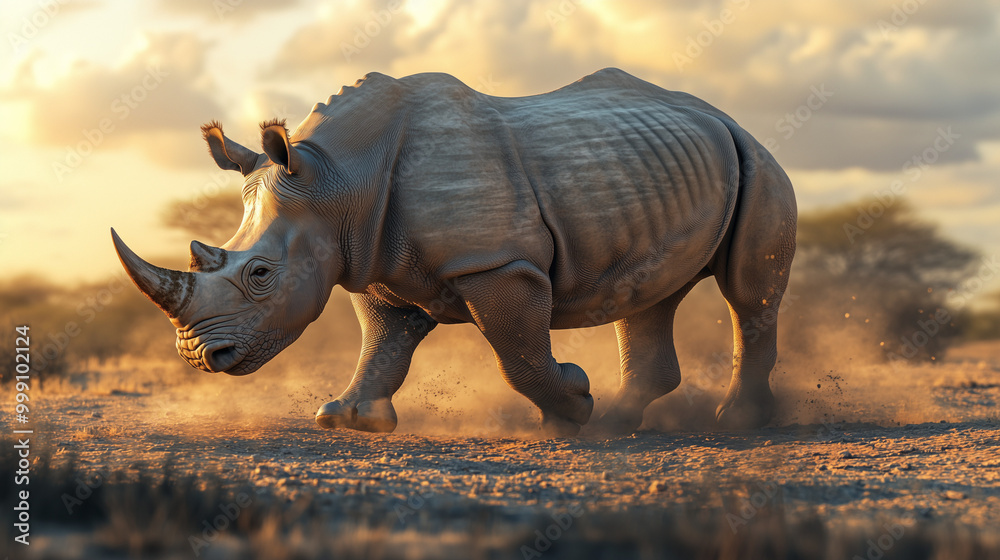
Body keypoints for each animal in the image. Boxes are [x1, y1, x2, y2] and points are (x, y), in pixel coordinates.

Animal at [111, 68, 796, 436]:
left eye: (259, 274)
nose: (200, 357)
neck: (336, 180)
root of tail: (719, 113)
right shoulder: (371, 263)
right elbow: (382, 341)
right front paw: (348, 419)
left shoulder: (496, 263)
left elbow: (516, 353)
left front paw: (571, 405)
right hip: (666, 165)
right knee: (651, 295)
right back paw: (620, 424)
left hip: (756, 157)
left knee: (748, 293)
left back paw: (735, 421)